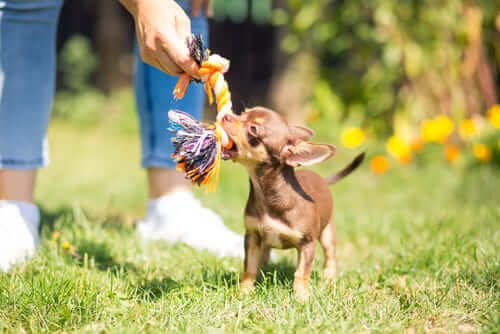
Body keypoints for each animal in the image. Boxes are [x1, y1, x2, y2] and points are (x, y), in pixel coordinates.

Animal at [221, 107, 366, 300]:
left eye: (254, 129)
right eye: (243, 113)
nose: (225, 115)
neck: (268, 194)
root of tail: (322, 179)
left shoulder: (307, 244)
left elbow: (301, 272)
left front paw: (301, 296)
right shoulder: (252, 236)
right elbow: (249, 267)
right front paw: (245, 291)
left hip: (327, 234)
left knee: (330, 257)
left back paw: (329, 279)